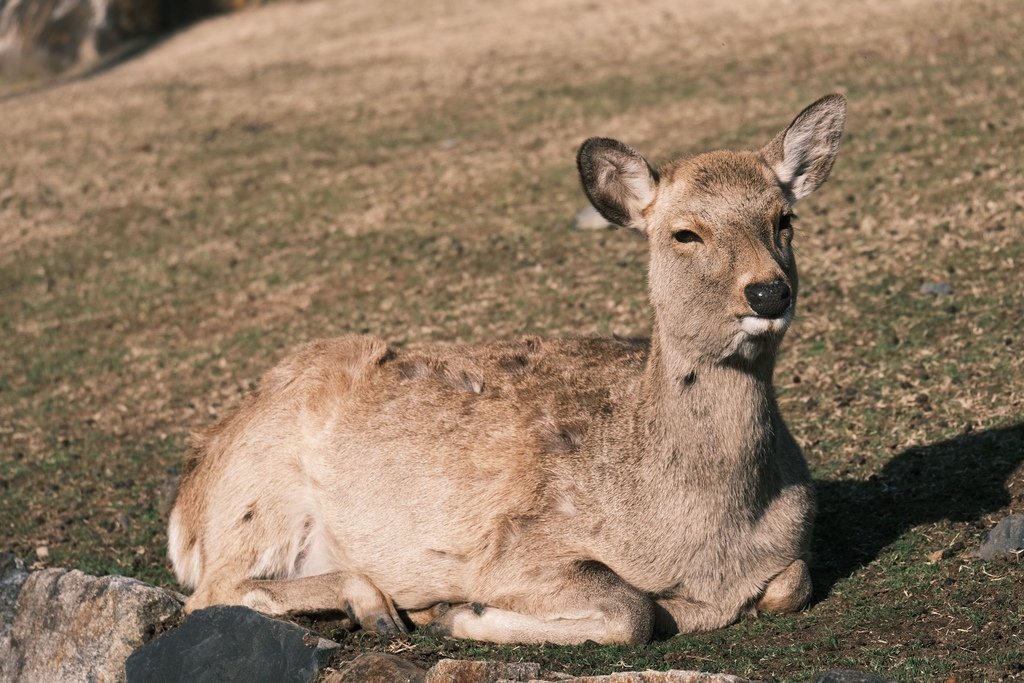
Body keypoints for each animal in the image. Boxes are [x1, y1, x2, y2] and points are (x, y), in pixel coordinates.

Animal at [169, 93, 847, 643]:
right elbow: (631, 612)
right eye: (685, 233)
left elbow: (795, 580)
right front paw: (461, 615)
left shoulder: (791, 550)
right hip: (257, 503)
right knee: (210, 595)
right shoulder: (516, 548)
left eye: (784, 219)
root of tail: (187, 506)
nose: (768, 292)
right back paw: (384, 608)